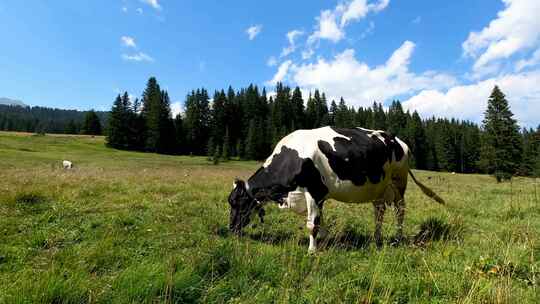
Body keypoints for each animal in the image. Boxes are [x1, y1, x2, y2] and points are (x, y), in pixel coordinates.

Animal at [228, 126, 442, 252]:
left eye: (238, 202)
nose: (231, 229)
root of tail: (397, 140)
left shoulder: (314, 191)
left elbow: (312, 224)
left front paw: (312, 251)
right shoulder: (317, 195)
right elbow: (319, 221)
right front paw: (324, 240)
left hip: (399, 182)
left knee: (400, 210)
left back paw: (397, 237)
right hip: (379, 188)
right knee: (379, 211)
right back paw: (377, 238)